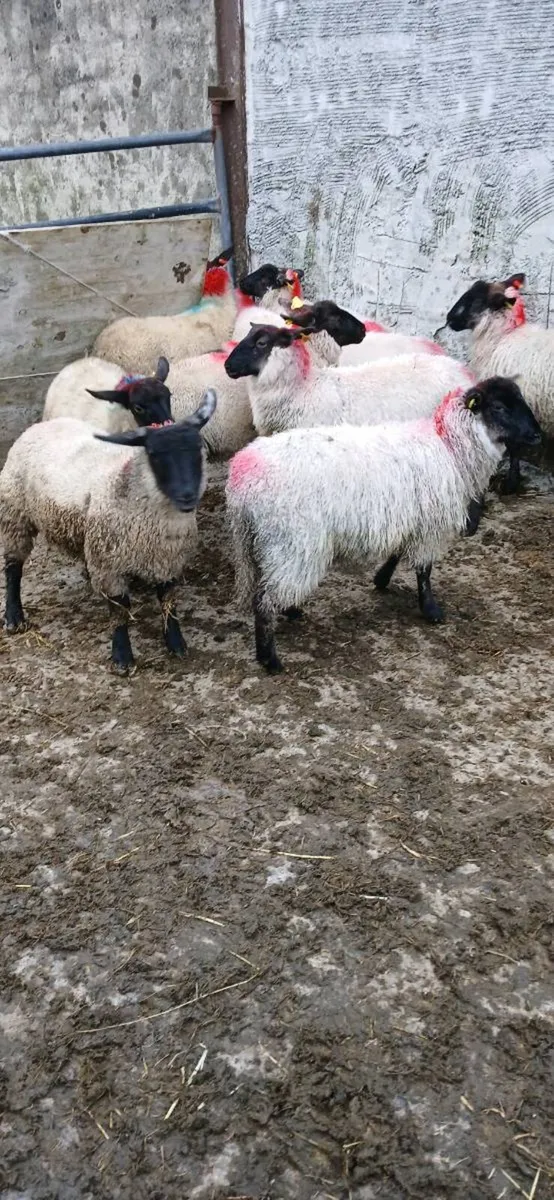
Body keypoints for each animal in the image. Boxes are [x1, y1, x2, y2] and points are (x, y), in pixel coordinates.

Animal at [0, 391, 217, 673]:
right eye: (154, 454)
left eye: (197, 449)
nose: (187, 496)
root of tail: (40, 426)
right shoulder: (108, 564)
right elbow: (119, 610)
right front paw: (122, 657)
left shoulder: (167, 558)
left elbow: (168, 600)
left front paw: (176, 643)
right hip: (15, 515)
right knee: (13, 568)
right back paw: (14, 617)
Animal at [225, 379, 541, 672]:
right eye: (499, 407)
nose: (537, 434)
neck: (448, 444)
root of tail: (243, 479)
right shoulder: (430, 526)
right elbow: (424, 570)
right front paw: (431, 609)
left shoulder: (411, 519)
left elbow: (398, 553)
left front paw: (382, 579)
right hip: (292, 542)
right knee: (264, 601)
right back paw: (269, 658)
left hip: (258, 543)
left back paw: (289, 612)